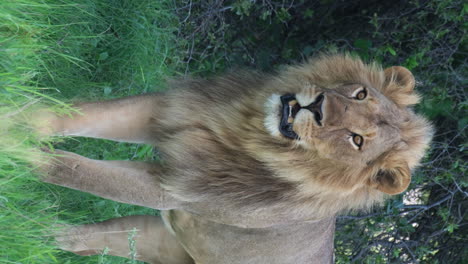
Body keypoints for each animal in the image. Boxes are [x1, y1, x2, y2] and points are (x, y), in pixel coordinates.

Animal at [35, 54, 432, 262]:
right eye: (360, 93)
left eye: (357, 141)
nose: (317, 107)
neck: (246, 135)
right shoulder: (163, 111)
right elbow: (76, 115)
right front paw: (22, 117)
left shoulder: (172, 189)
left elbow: (73, 169)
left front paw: (22, 153)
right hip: (162, 240)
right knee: (79, 238)